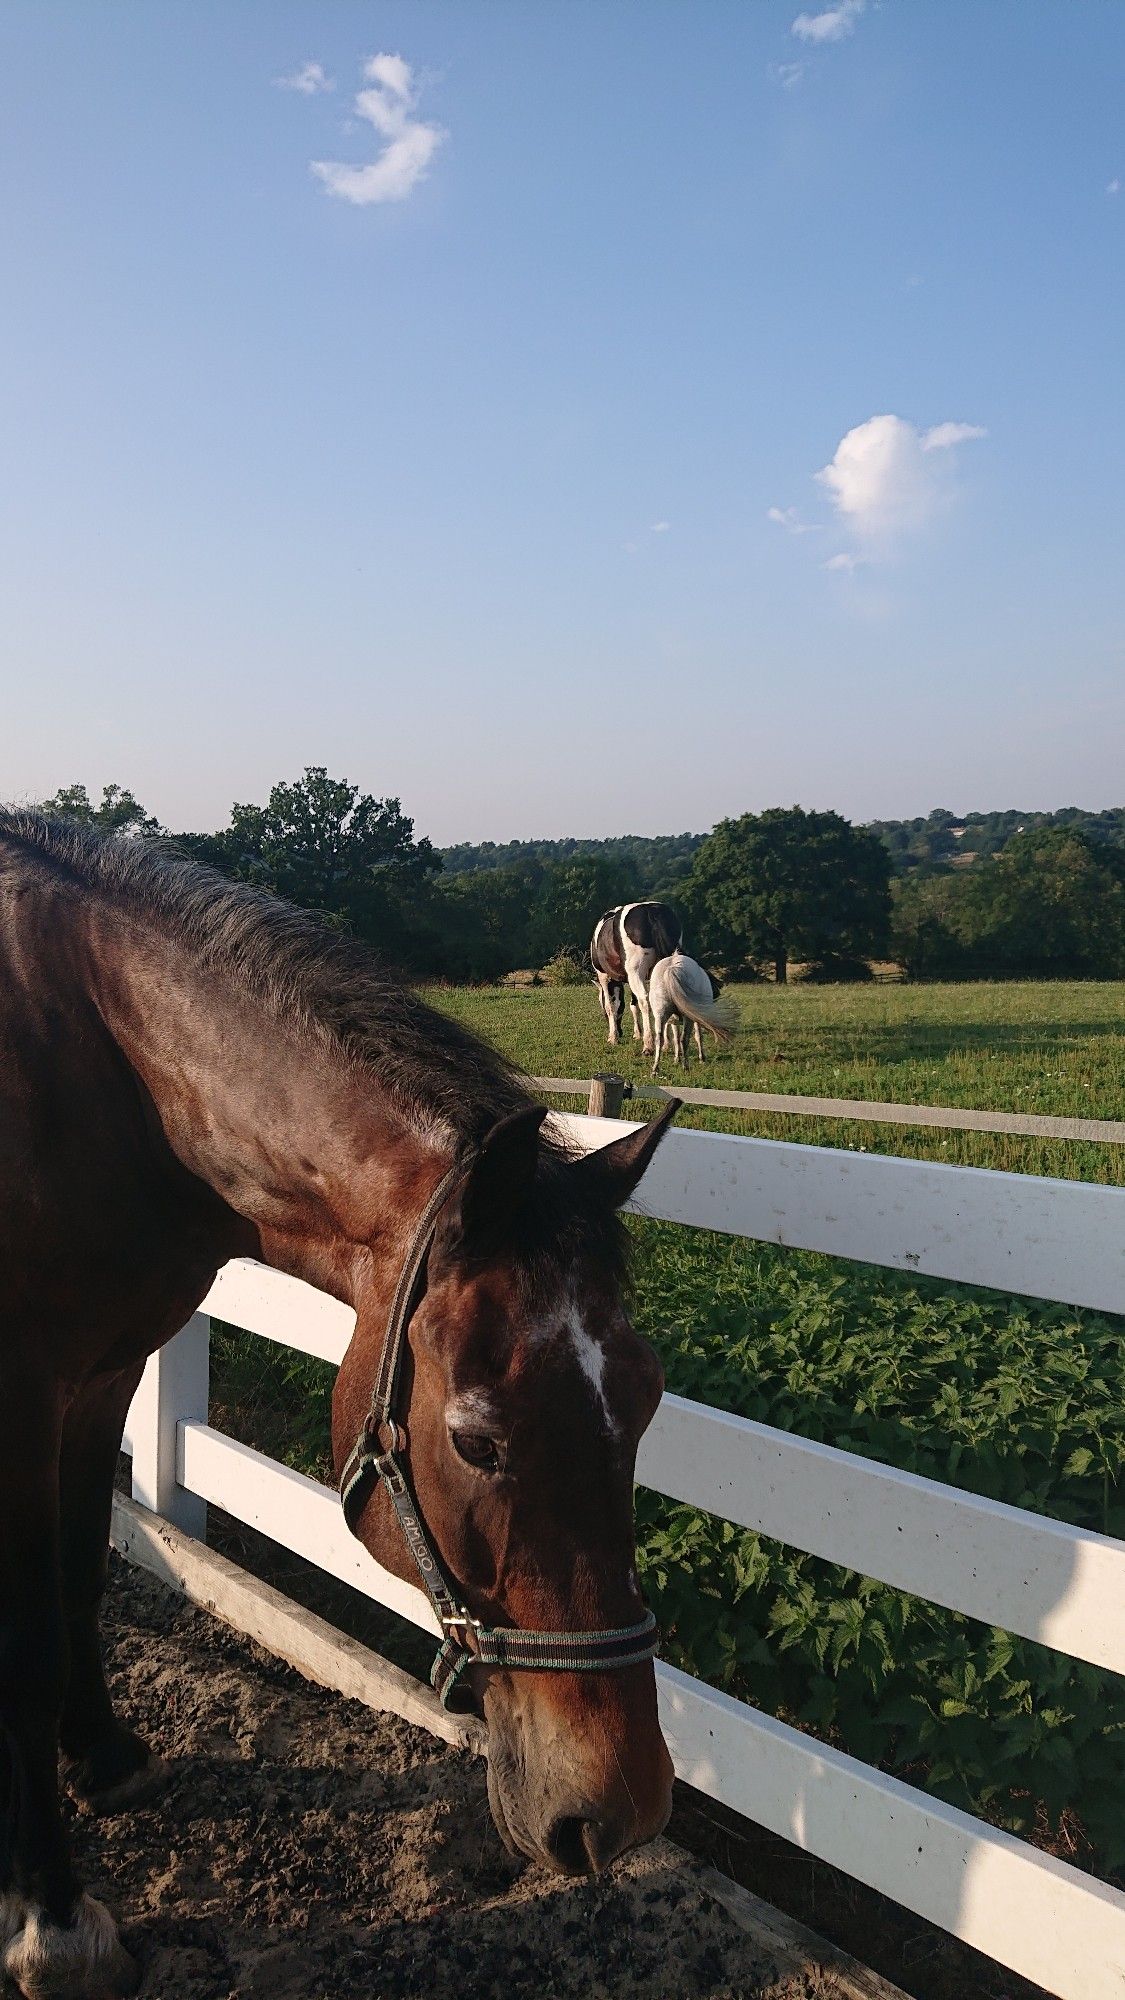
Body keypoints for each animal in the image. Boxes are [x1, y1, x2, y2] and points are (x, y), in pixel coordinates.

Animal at [592, 908, 680, 1064]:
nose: (620, 1032)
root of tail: (652, 911)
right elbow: (633, 1005)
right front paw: (638, 1034)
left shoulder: (604, 976)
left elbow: (610, 1006)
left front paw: (613, 1037)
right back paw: (672, 1048)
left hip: (636, 973)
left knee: (645, 1002)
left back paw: (648, 1046)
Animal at [648, 952, 736, 1080]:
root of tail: (671, 968)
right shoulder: (696, 1019)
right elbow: (698, 1036)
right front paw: (701, 1058)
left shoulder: (674, 1021)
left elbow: (675, 1038)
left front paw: (677, 1059)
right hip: (688, 1018)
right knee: (684, 1039)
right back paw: (686, 1067)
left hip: (660, 1015)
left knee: (659, 1039)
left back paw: (655, 1070)